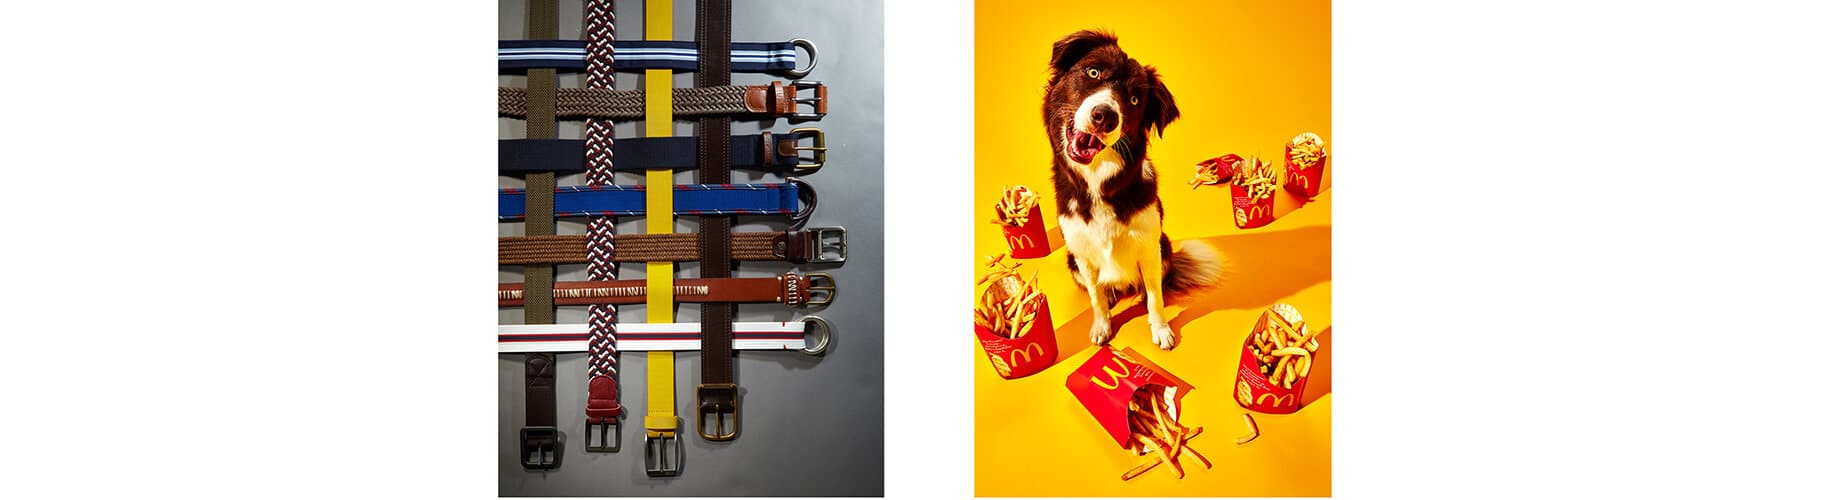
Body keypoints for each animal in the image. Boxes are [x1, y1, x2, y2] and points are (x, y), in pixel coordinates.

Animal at [1039, 29, 1222, 347]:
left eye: (1135, 100)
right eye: (1093, 72)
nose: (1105, 116)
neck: (1097, 182)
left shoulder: (1149, 246)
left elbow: (1154, 297)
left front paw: (1160, 330)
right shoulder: (1082, 253)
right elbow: (1096, 297)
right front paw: (1102, 325)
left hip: (1164, 246)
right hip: (1072, 263)